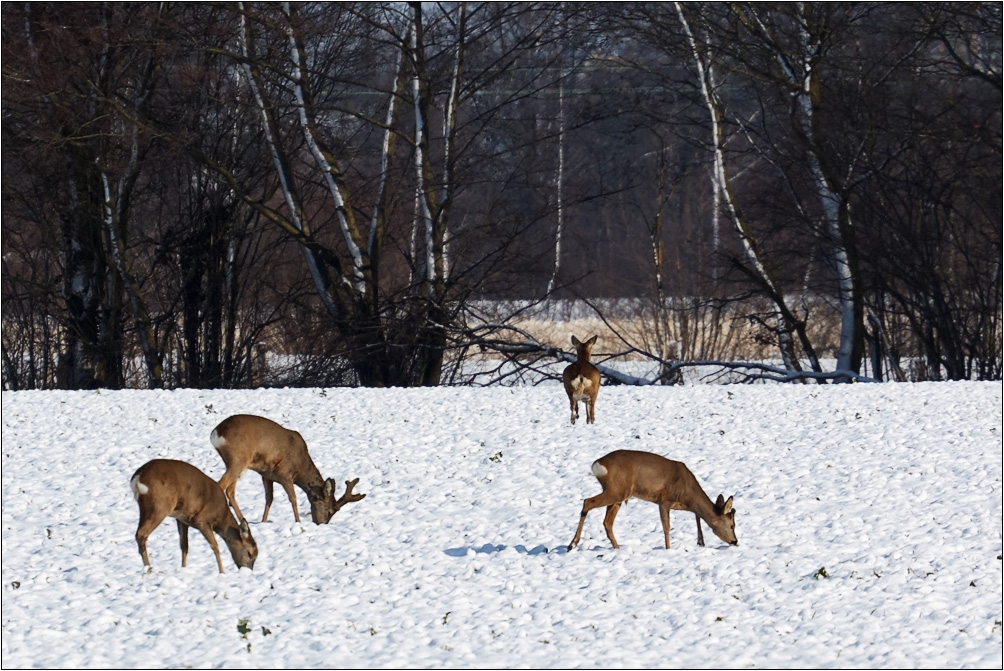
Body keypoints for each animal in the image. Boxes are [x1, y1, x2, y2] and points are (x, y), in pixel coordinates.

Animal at [130, 458, 259, 574]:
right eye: (250, 553)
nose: (248, 571)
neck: (220, 517)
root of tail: (138, 477)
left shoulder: (181, 519)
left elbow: (184, 546)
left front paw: (183, 568)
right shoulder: (201, 520)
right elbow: (215, 546)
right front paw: (222, 572)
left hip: (145, 508)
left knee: (139, 533)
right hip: (160, 506)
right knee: (141, 534)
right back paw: (148, 568)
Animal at [209, 413, 367, 522]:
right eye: (330, 511)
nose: (321, 524)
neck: (301, 466)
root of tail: (216, 432)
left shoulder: (266, 475)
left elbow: (269, 498)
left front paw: (263, 521)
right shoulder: (285, 474)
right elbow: (293, 498)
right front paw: (298, 521)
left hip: (234, 463)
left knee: (230, 491)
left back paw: (242, 519)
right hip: (238, 459)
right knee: (221, 485)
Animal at [570, 450, 742, 550]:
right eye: (732, 525)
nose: (735, 541)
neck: (688, 494)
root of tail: (597, 464)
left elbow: (697, 517)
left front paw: (701, 542)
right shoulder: (664, 500)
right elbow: (666, 526)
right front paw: (668, 548)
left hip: (619, 496)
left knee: (607, 522)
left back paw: (617, 548)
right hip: (615, 491)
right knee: (587, 502)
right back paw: (572, 544)